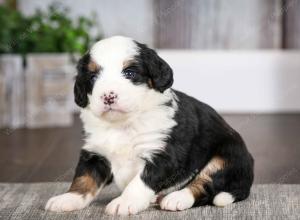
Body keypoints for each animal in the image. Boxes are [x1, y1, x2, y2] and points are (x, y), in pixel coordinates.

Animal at [45, 35, 254, 215]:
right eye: (93, 77)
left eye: (129, 72)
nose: (108, 97)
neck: (123, 124)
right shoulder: (95, 153)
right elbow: (84, 178)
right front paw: (68, 198)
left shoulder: (163, 154)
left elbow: (141, 181)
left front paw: (124, 202)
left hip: (227, 158)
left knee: (205, 184)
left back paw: (176, 198)